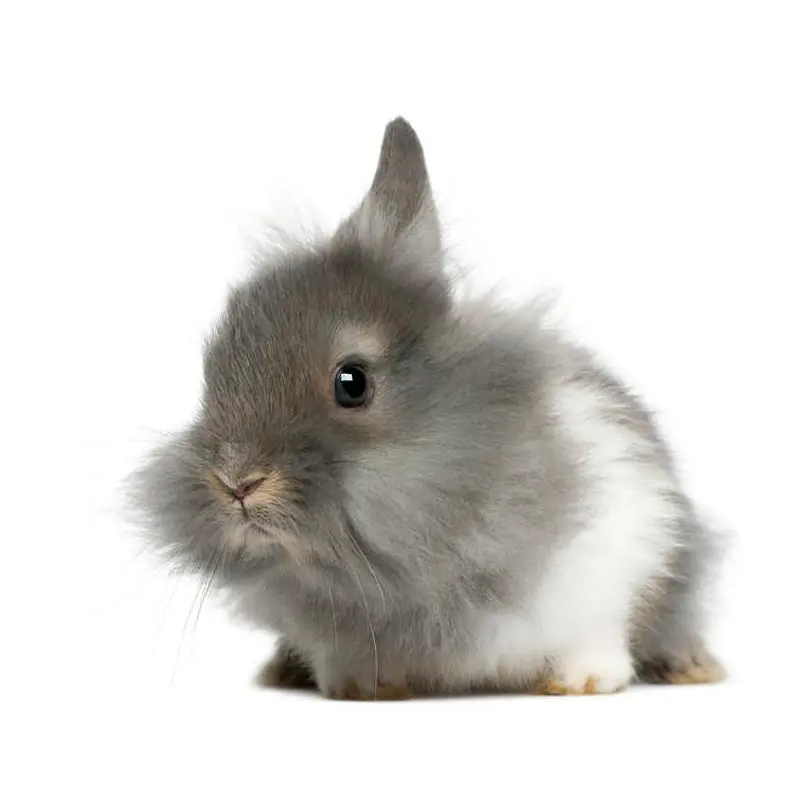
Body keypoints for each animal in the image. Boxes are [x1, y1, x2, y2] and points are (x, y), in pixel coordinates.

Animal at [129, 117, 725, 700]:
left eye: (352, 382)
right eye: (211, 373)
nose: (237, 482)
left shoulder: (620, 548)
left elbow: (597, 635)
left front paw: (584, 682)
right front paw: (358, 686)